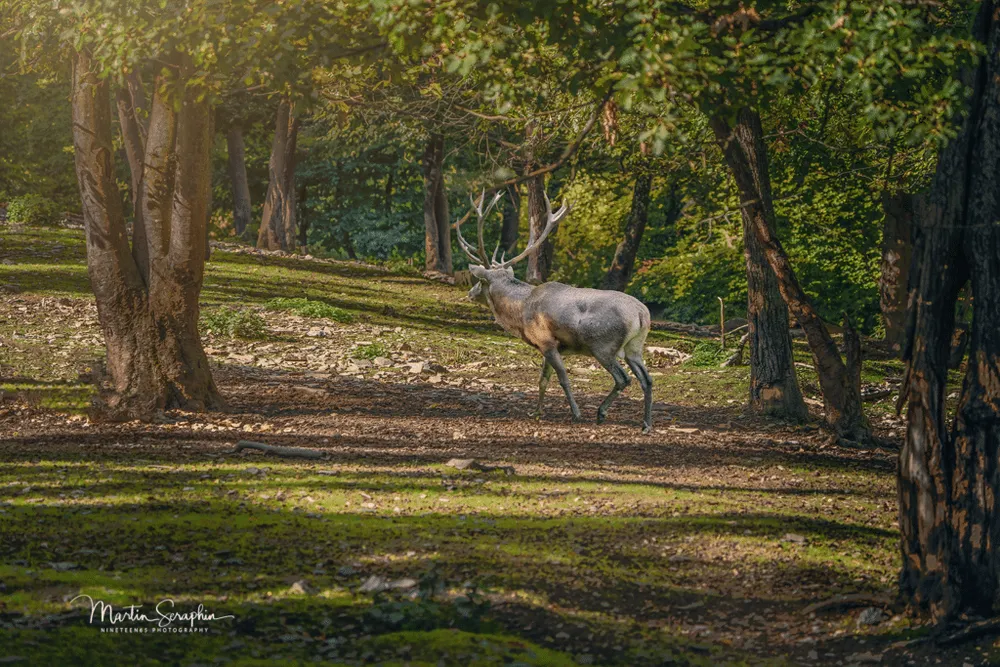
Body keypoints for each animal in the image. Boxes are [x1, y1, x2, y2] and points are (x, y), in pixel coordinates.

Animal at [456, 190, 654, 433]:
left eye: (480, 281)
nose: (470, 292)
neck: (521, 313)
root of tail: (642, 314)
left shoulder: (546, 341)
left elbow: (562, 378)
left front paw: (576, 414)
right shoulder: (551, 346)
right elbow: (543, 379)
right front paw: (536, 413)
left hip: (603, 345)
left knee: (623, 379)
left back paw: (601, 413)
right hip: (634, 347)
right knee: (647, 379)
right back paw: (646, 424)